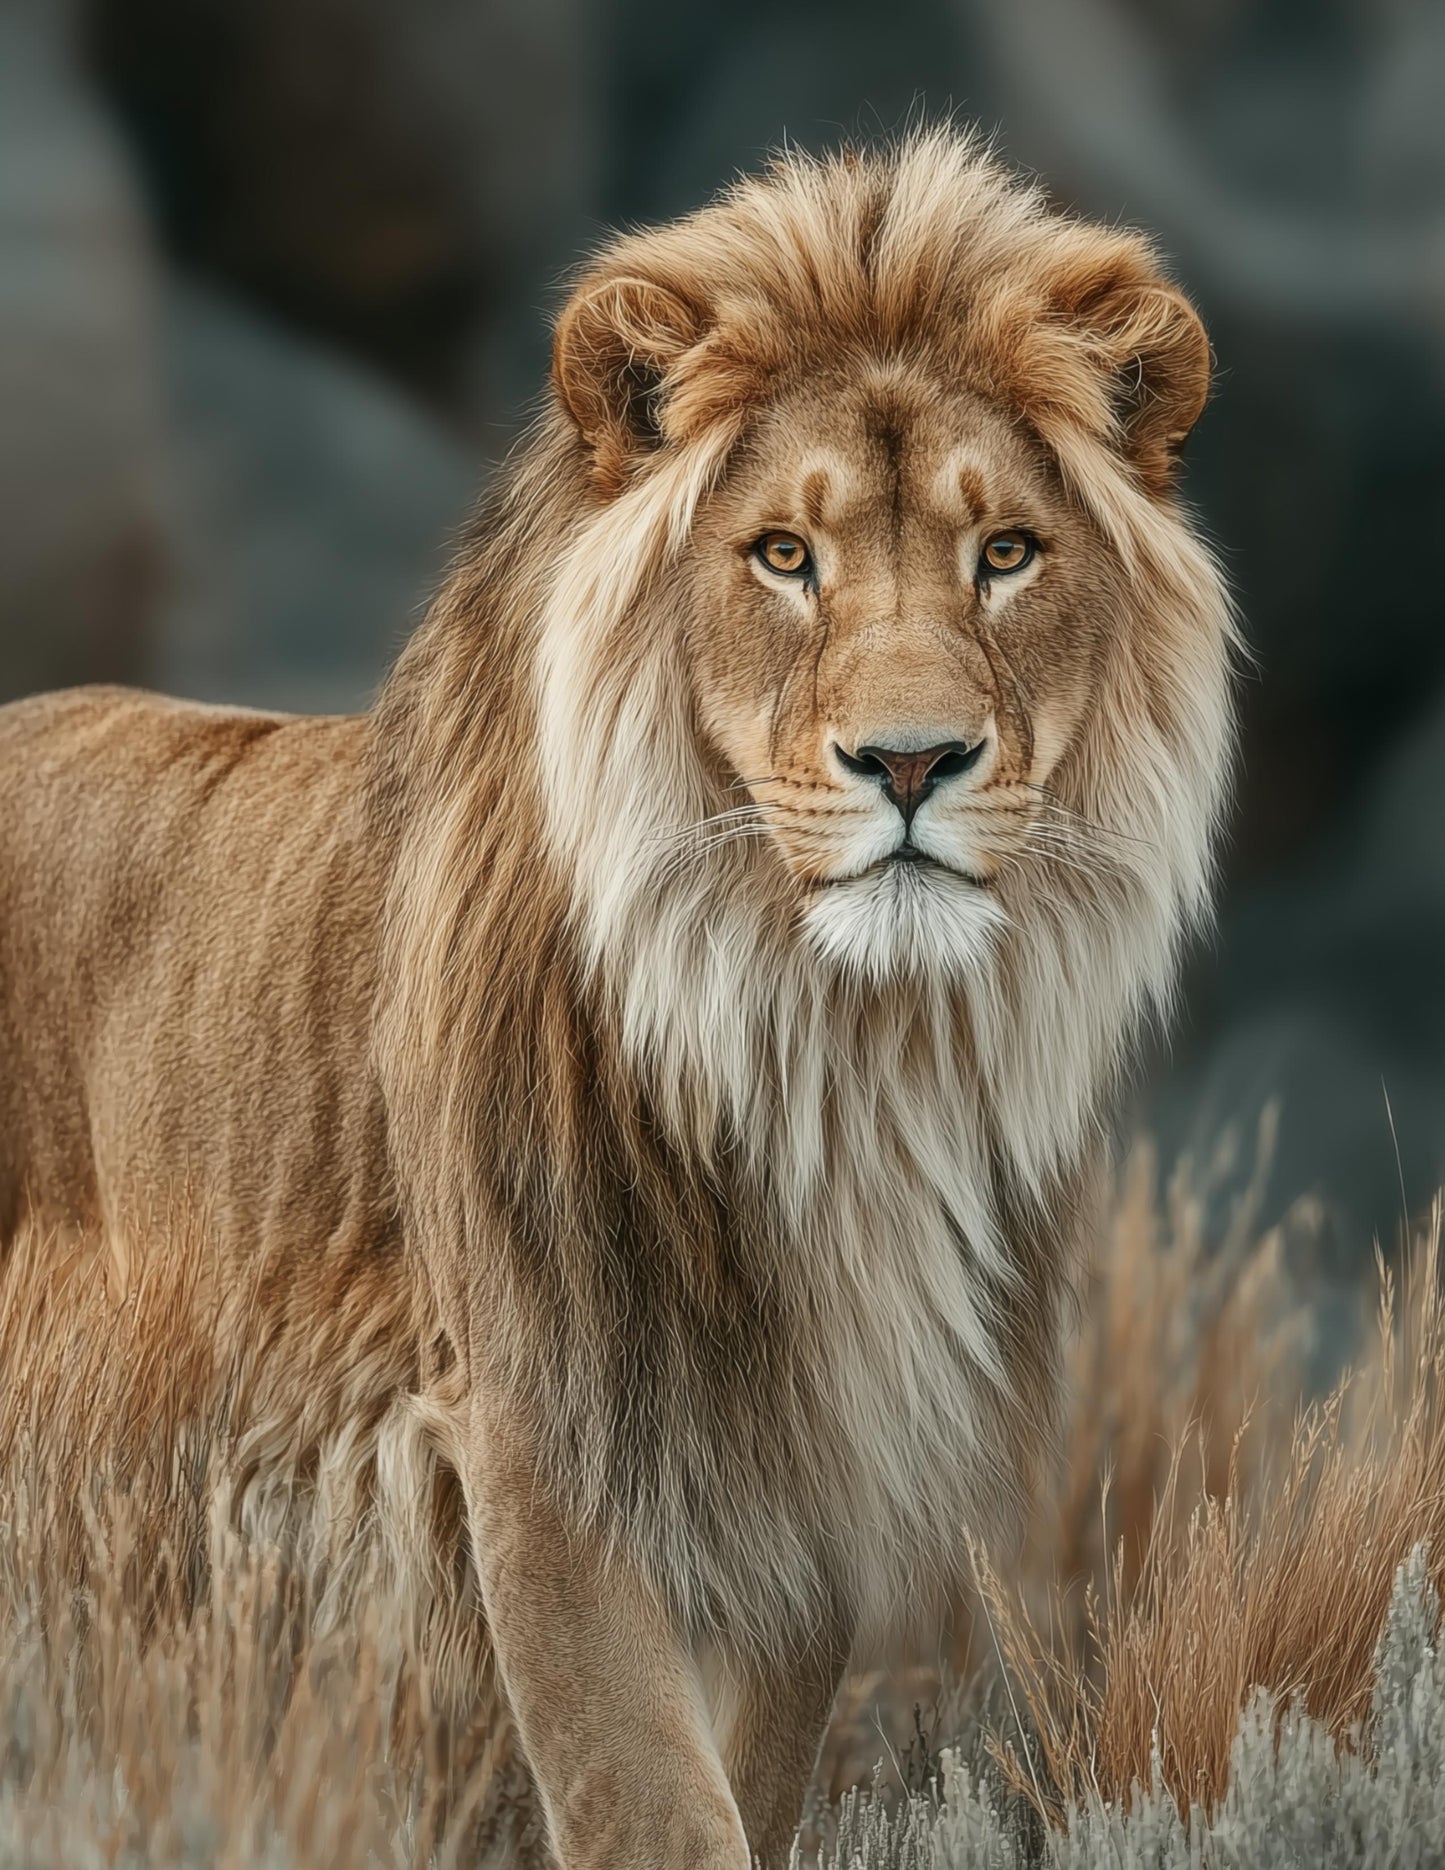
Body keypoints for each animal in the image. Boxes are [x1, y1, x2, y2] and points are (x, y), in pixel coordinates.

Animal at [0, 133, 1234, 1867]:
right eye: (783, 555)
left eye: (1005, 554)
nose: (911, 760)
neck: (828, 1049)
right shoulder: (539, 1430)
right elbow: (644, 1789)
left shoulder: (808, 1454)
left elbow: (750, 1774)